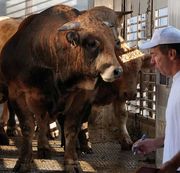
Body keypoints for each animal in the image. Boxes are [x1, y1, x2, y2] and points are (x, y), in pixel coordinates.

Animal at [0, 4, 122, 173]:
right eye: (92, 43)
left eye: (115, 42)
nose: (117, 71)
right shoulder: (17, 93)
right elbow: (27, 127)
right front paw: (23, 161)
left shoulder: (82, 97)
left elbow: (71, 128)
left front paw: (72, 162)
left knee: (43, 120)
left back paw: (44, 147)